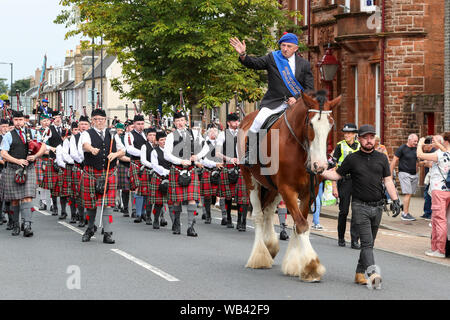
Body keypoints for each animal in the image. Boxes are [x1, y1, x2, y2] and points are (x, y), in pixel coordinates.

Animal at [237, 90, 340, 282]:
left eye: (331, 125)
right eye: (311, 124)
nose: (320, 165)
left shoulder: (308, 192)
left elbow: (299, 223)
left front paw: (295, 264)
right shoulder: (287, 189)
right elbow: (301, 224)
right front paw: (311, 266)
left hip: (272, 188)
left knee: (268, 211)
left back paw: (270, 246)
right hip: (251, 180)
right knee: (259, 215)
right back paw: (259, 256)